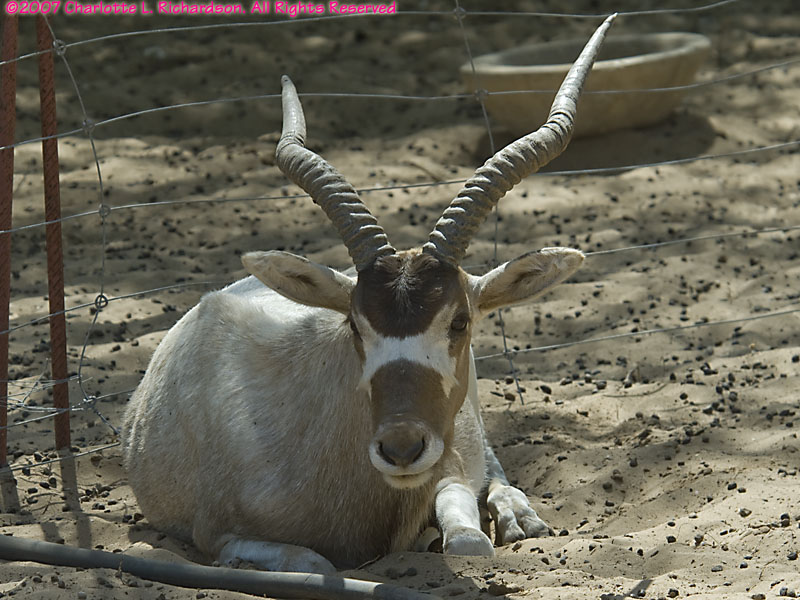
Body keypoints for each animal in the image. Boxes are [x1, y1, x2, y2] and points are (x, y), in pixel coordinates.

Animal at [122, 16, 614, 574]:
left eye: (460, 321)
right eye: (356, 325)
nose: (401, 449)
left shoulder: (450, 469)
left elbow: (469, 541)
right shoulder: (217, 536)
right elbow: (314, 564)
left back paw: (519, 518)